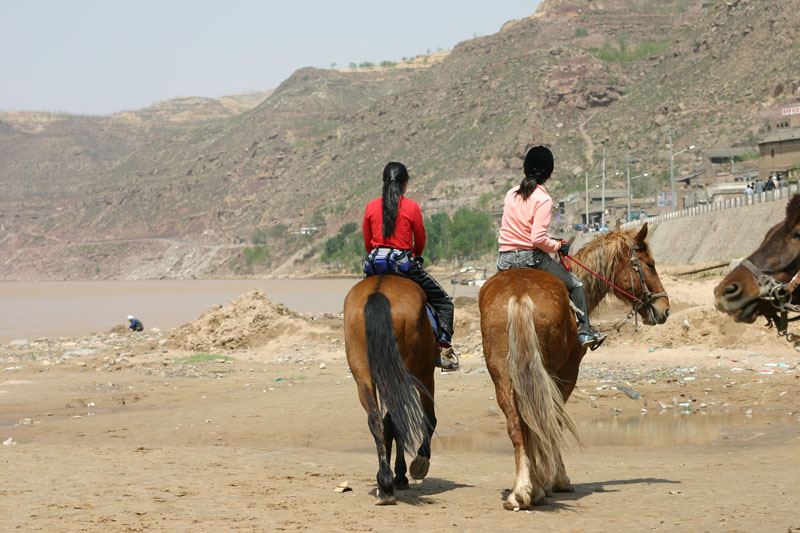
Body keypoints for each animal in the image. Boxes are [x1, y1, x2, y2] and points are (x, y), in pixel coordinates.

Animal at [342, 272, 438, 504]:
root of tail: (379, 291)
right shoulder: (426, 373)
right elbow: (429, 419)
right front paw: (416, 464)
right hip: (407, 373)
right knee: (396, 419)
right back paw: (393, 479)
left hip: (363, 373)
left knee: (376, 419)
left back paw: (384, 484)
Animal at [482, 222, 668, 510]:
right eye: (649, 264)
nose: (665, 308)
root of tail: (519, 294)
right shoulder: (568, 373)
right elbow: (555, 421)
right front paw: (556, 479)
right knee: (540, 420)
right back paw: (532, 488)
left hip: (503, 376)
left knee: (517, 424)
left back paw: (521, 491)